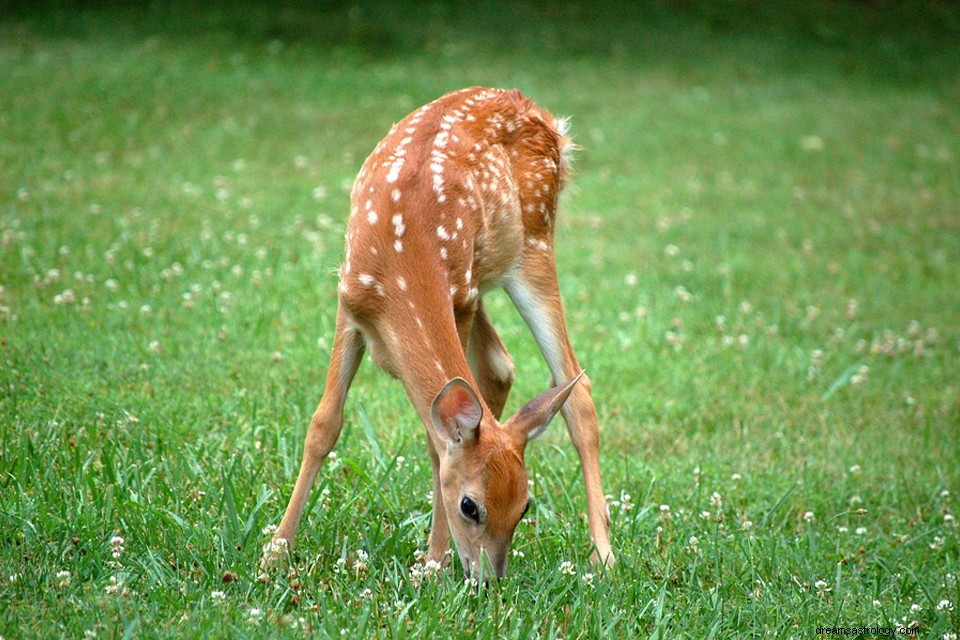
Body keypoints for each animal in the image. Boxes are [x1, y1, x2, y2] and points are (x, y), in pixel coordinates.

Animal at [264, 86, 616, 580]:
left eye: (524, 508)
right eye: (470, 506)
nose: (488, 580)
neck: (402, 265)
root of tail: (544, 116)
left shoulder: (457, 299)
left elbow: (434, 444)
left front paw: (433, 562)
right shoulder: (349, 301)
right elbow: (324, 425)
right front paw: (275, 552)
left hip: (532, 245)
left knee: (576, 390)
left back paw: (604, 555)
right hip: (486, 276)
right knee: (501, 366)